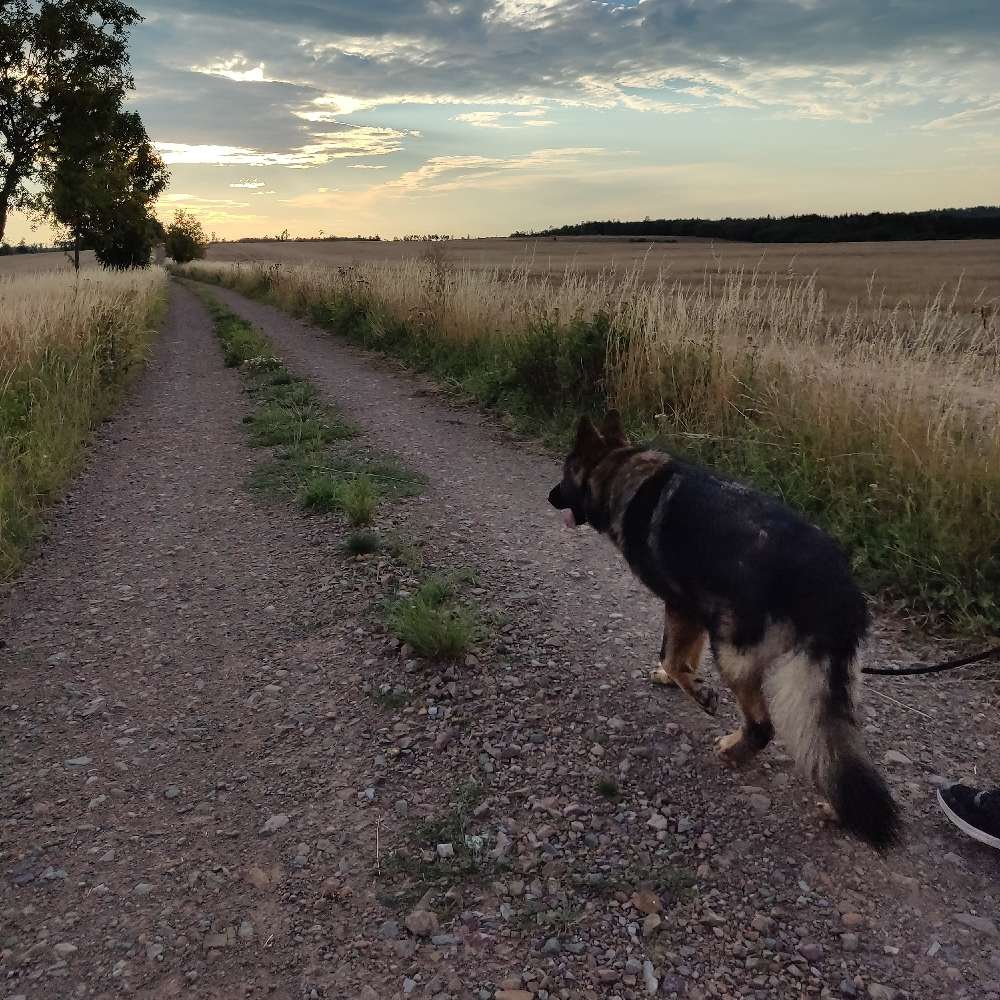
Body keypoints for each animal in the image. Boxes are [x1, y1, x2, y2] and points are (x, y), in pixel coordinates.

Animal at [552, 410, 904, 848]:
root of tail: (832, 583)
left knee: (763, 725)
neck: (621, 470)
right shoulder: (696, 614)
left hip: (734, 654)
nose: (550, 497)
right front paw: (674, 678)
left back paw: (735, 749)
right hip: (823, 683)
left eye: (565, 473)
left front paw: (695, 690)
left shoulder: (682, 607)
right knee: (834, 751)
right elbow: (681, 656)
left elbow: (672, 656)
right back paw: (839, 810)